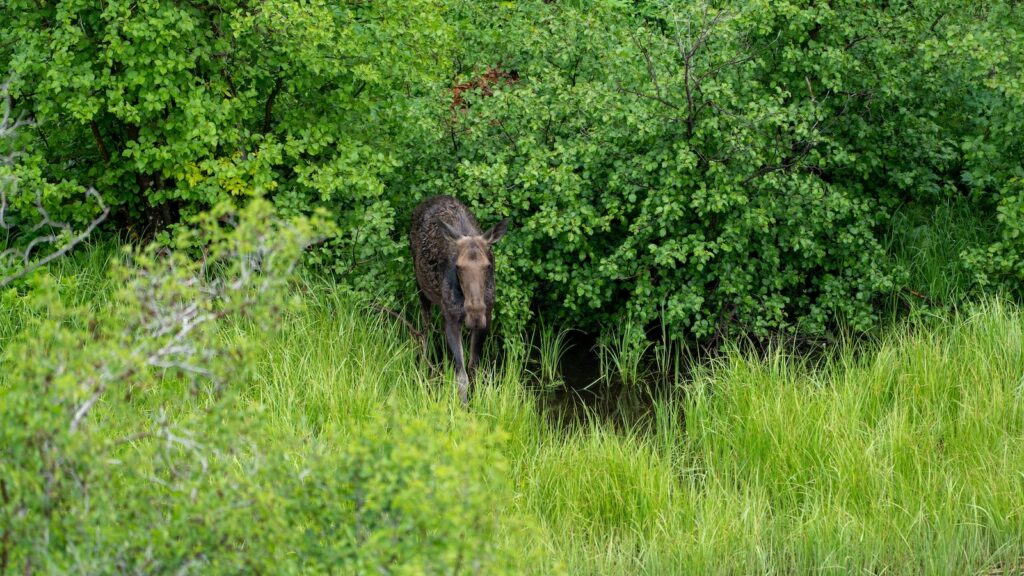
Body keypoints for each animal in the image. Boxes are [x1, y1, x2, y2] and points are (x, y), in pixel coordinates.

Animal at [409, 192, 509, 403]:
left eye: (488, 265)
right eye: (458, 267)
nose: (475, 314)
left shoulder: (487, 319)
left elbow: (474, 368)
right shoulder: (451, 319)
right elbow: (461, 377)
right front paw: (462, 406)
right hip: (421, 288)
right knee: (425, 329)